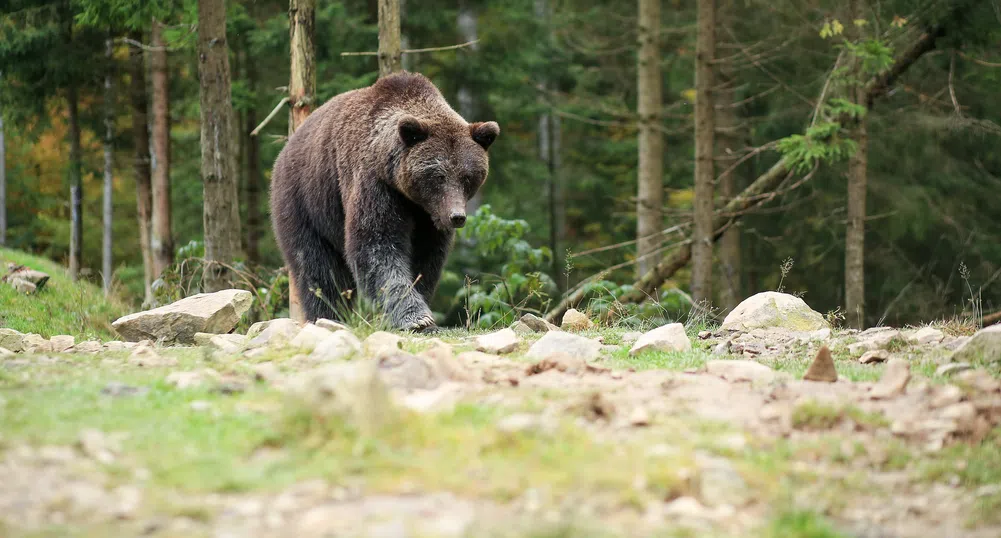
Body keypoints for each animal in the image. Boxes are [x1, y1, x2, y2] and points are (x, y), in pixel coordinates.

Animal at [270, 71, 500, 330]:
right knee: (316, 266)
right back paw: (327, 315)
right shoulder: (375, 185)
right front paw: (416, 317)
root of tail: (288, 146)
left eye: (467, 177)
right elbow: (376, 243)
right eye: (439, 176)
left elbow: (425, 257)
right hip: (305, 200)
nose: (456, 216)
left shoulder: (427, 217)